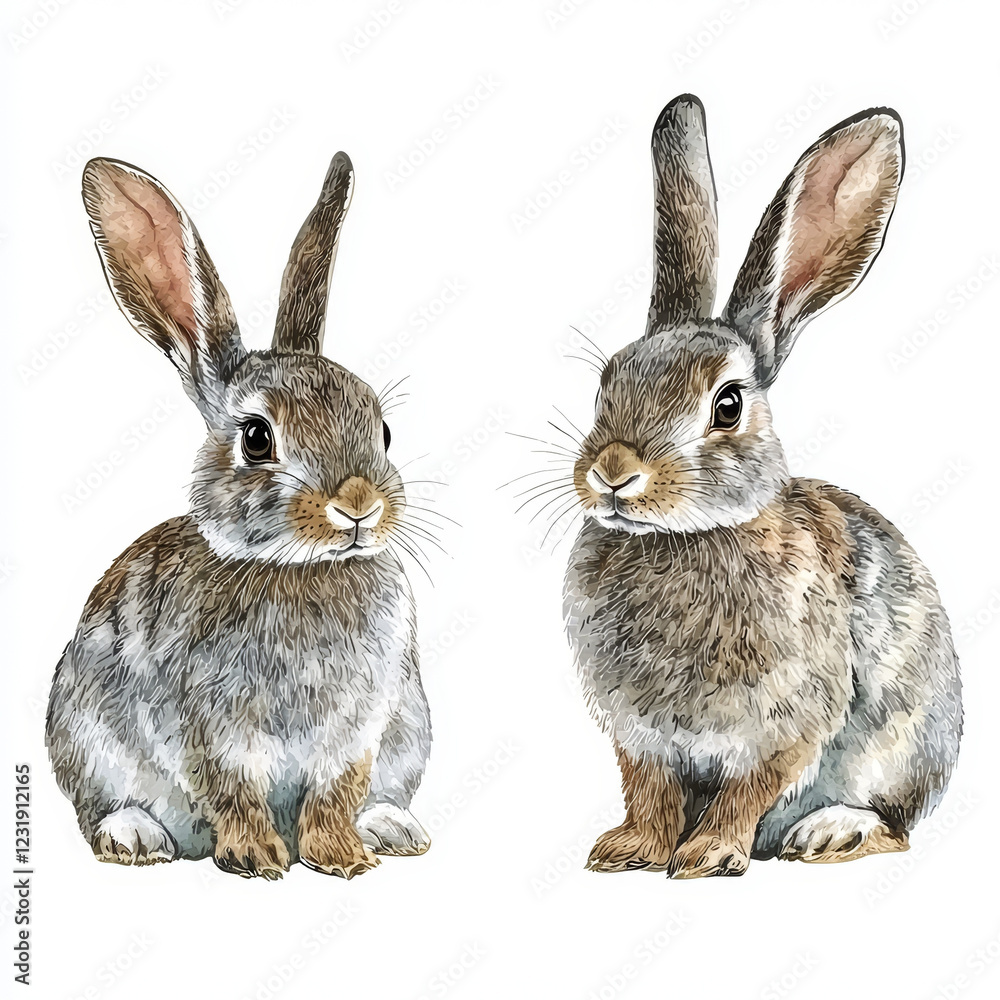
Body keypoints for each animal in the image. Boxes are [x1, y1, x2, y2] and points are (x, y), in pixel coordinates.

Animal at [45, 152, 433, 879]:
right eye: (257, 438)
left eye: (384, 430)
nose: (359, 505)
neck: (298, 568)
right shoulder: (209, 727)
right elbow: (234, 790)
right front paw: (258, 859)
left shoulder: (358, 730)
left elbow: (336, 794)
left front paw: (341, 859)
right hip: (86, 739)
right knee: (102, 808)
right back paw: (135, 838)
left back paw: (393, 828)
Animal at [562, 95, 962, 878]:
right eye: (607, 385)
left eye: (727, 404)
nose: (613, 473)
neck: (686, 538)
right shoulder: (638, 734)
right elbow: (648, 791)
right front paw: (629, 851)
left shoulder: (789, 721)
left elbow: (749, 789)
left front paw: (709, 855)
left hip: (901, 745)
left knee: (895, 825)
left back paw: (831, 834)